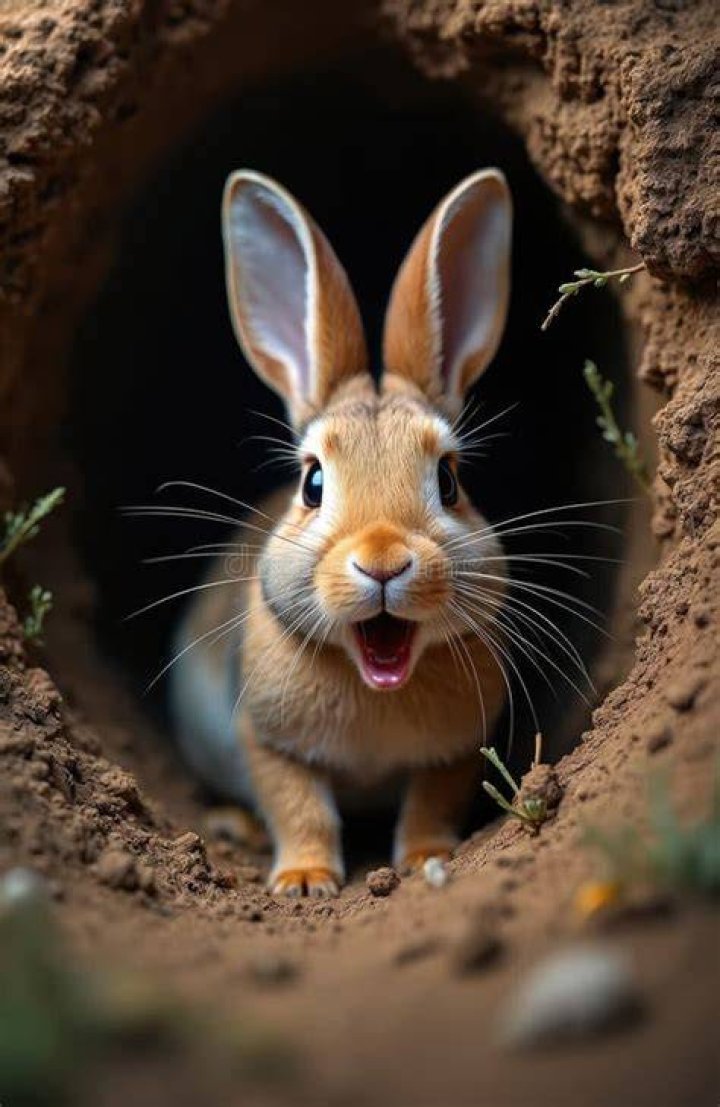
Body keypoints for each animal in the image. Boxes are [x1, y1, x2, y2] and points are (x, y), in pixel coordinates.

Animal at [170, 167, 512, 896]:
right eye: (313, 483)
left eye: (449, 480)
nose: (383, 561)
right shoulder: (267, 741)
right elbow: (299, 805)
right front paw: (304, 879)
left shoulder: (456, 749)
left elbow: (430, 803)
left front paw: (426, 858)